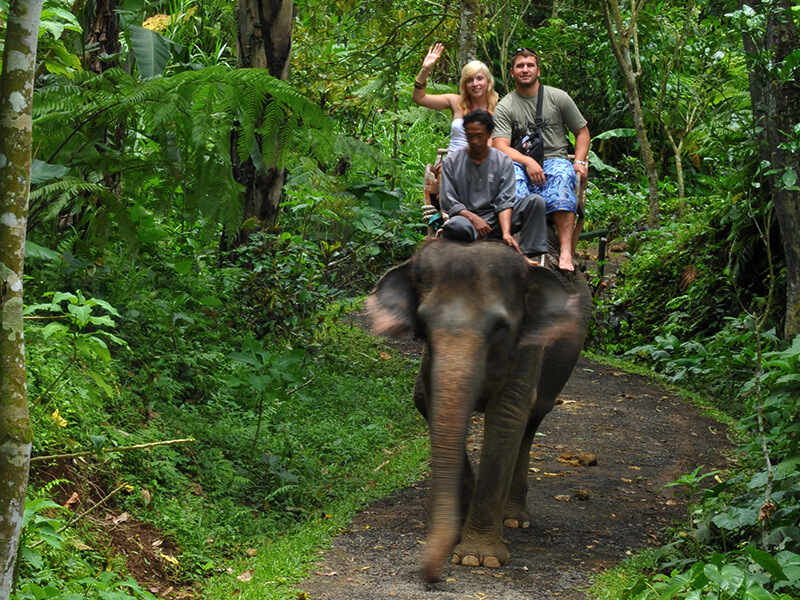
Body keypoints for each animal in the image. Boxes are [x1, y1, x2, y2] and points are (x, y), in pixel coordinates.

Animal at [366, 238, 592, 580]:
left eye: (501, 326)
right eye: (424, 324)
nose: (430, 576)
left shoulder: (528, 347)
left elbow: (506, 417)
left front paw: (478, 558)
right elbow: (425, 400)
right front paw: (460, 512)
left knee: (532, 419)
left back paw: (514, 518)